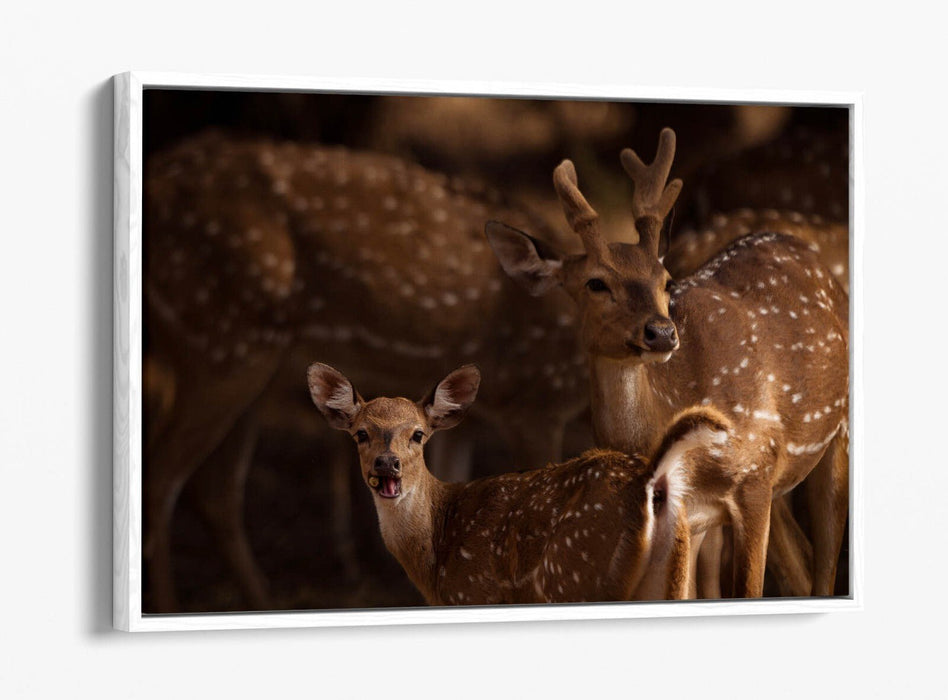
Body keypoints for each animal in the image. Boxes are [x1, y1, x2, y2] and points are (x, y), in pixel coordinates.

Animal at [143, 130, 590, 612]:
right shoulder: (534, 403)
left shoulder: (472, 421)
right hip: (221, 344)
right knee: (161, 479)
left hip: (246, 363)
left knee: (216, 490)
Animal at [307, 361, 756, 603]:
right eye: (360, 433)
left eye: (418, 434)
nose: (388, 464)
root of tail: (650, 480)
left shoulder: (472, 592)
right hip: (672, 574)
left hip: (575, 577)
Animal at [485, 128, 849, 597]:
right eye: (595, 283)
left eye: (666, 281)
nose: (660, 332)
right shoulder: (688, 516)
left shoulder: (754, 476)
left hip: (834, 436)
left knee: (823, 565)